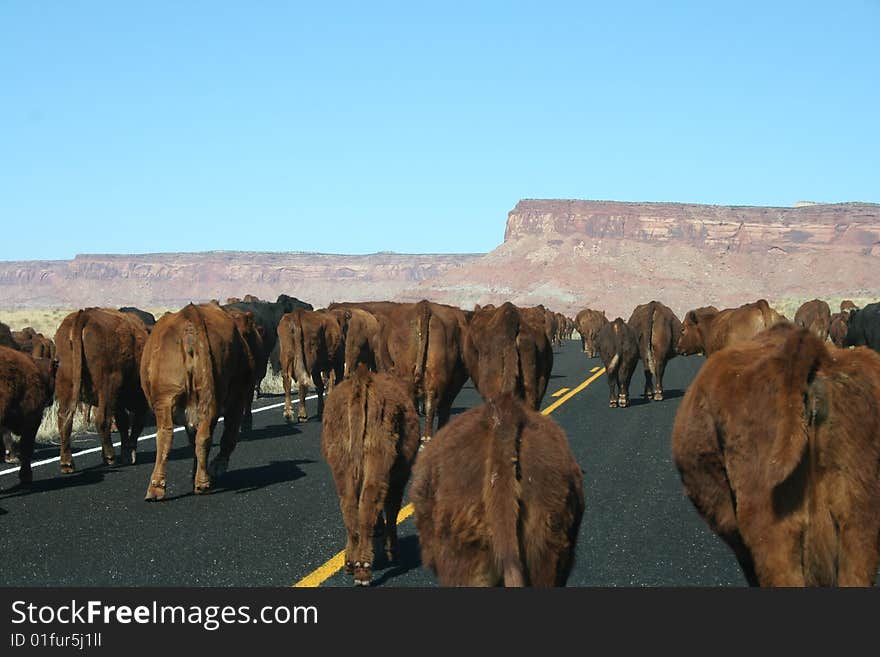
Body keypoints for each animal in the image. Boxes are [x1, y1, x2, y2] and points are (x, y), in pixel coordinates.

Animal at [138, 302, 254, 498]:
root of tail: (191, 315)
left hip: (167, 398)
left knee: (166, 436)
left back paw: (157, 487)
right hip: (217, 397)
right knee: (207, 435)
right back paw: (202, 481)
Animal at [322, 364, 422, 584]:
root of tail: (362, 380)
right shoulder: (399, 477)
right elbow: (392, 509)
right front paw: (392, 552)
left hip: (342, 465)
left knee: (350, 506)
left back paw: (350, 563)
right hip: (378, 462)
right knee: (369, 504)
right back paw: (363, 569)